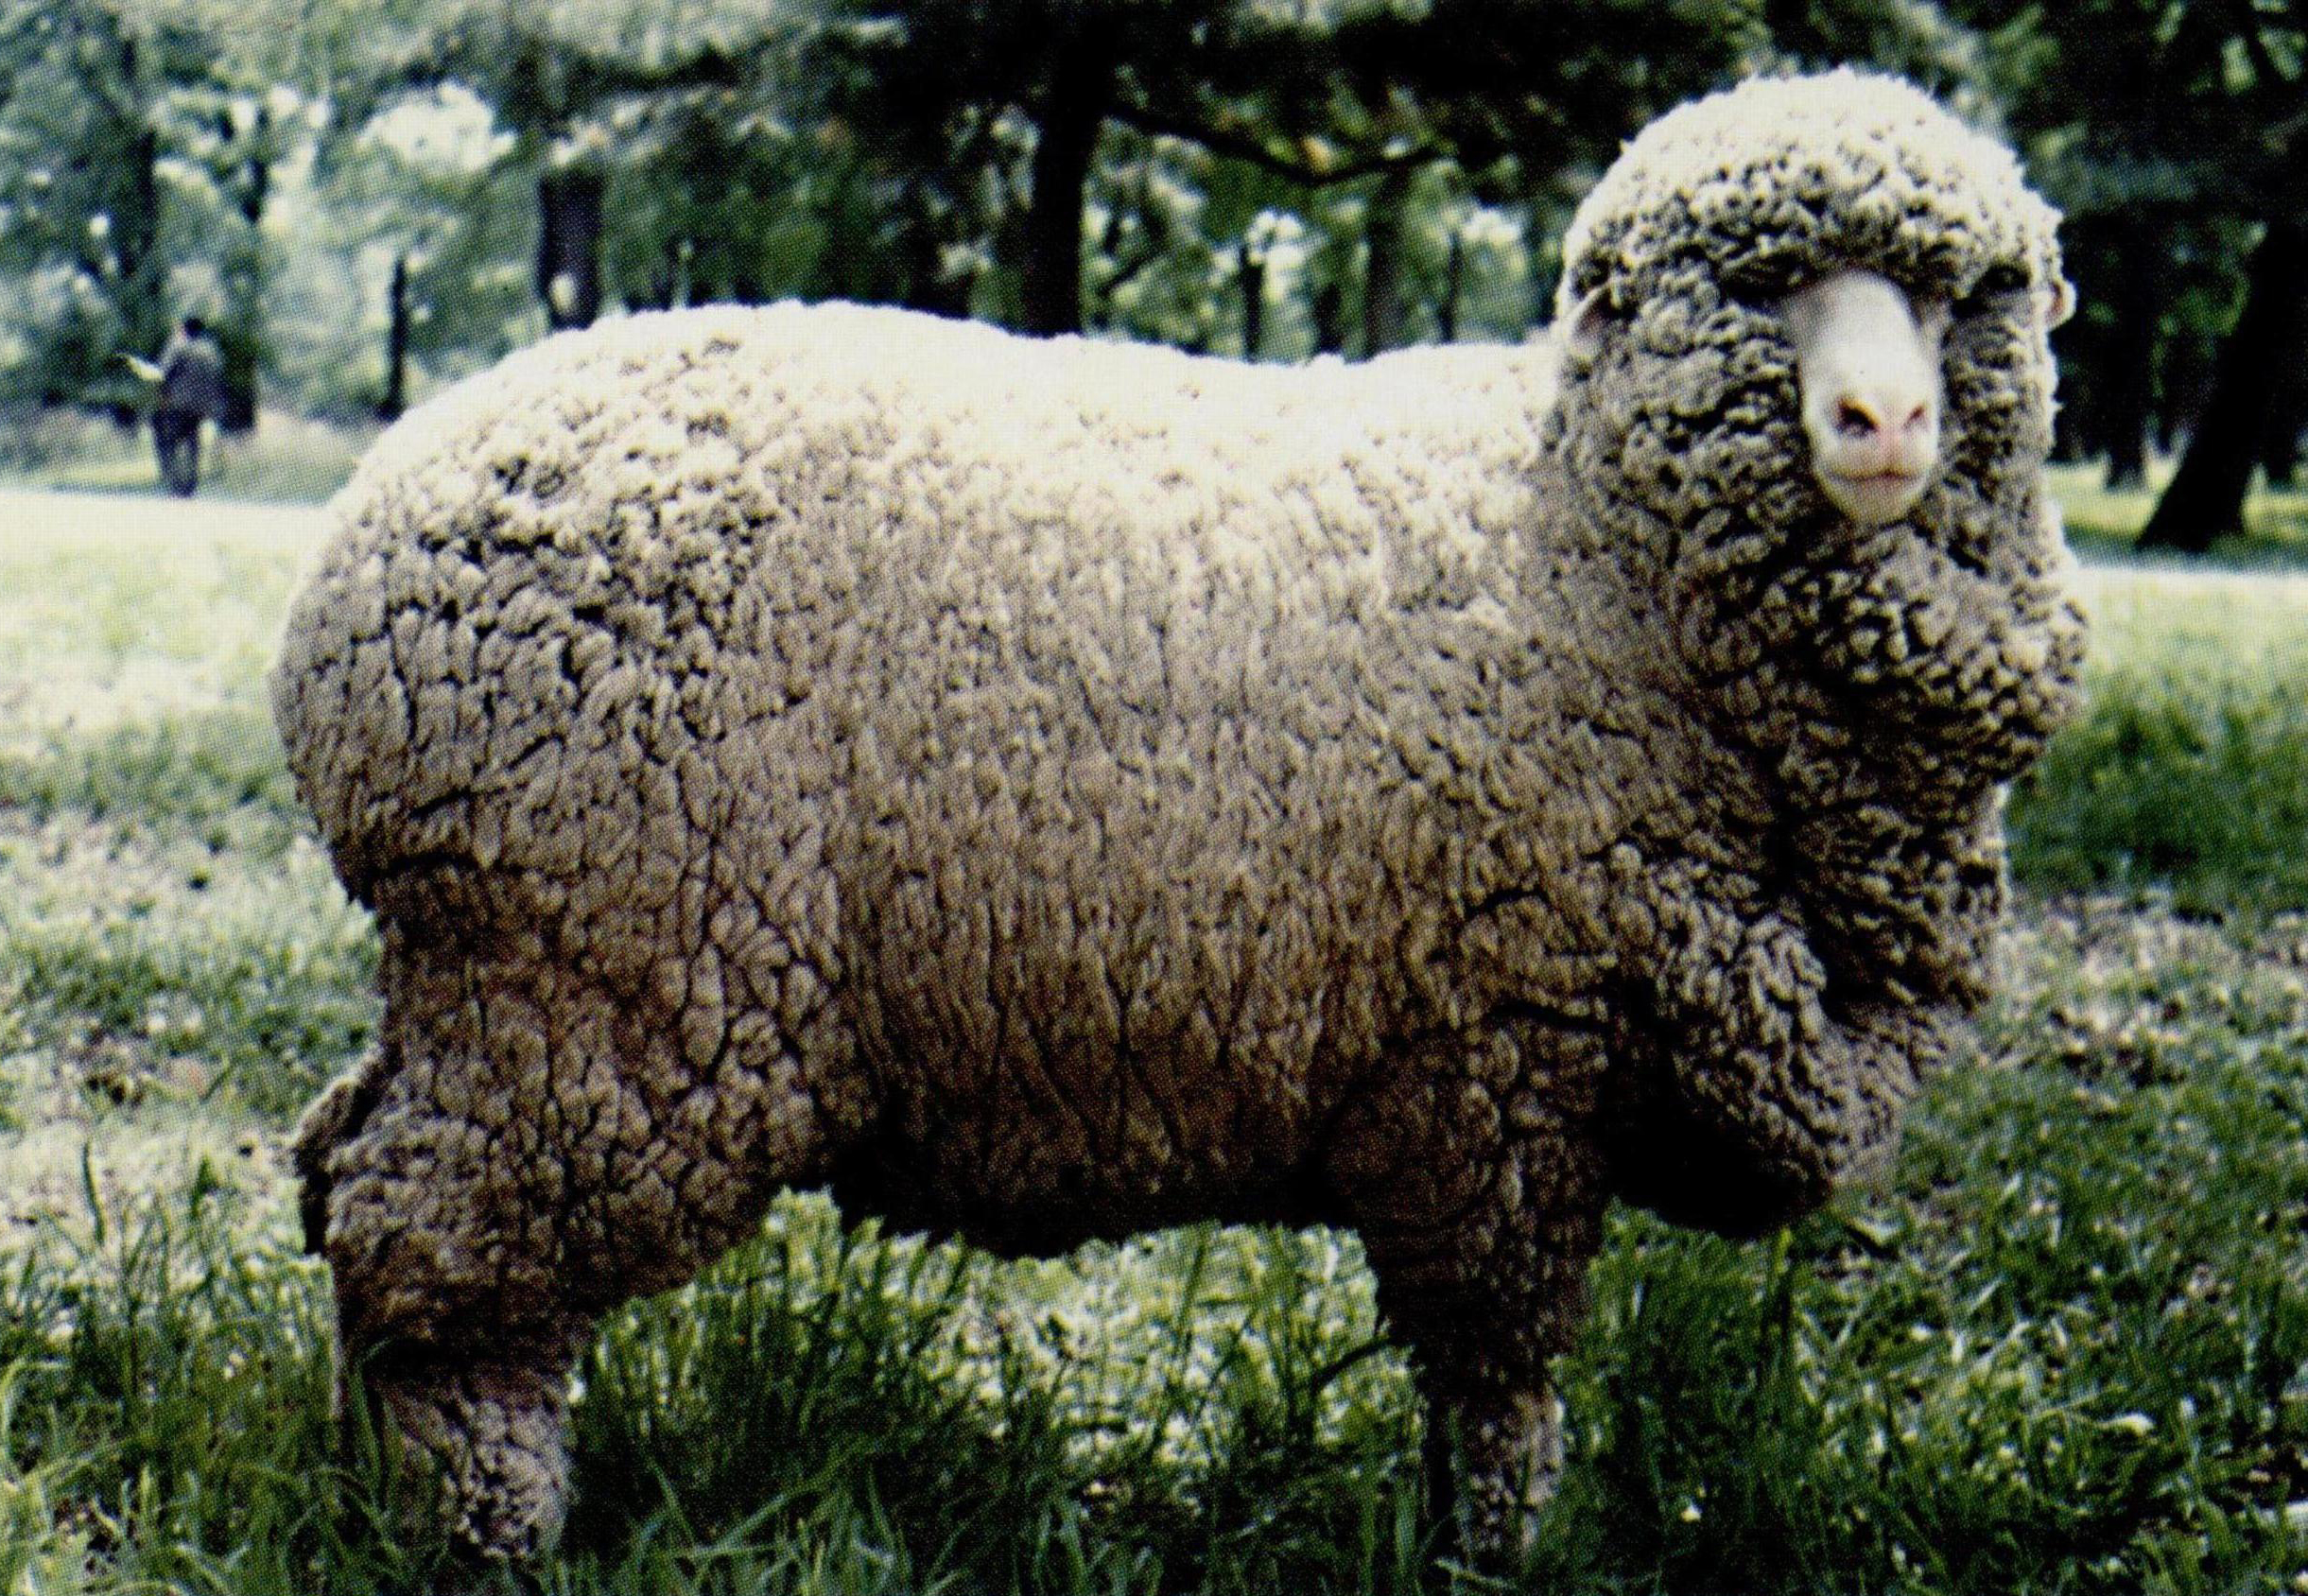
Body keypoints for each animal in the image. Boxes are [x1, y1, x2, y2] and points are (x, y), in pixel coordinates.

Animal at [272, 68, 2084, 1566]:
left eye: (1960, 293)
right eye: (1767, 286)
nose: (1883, 426)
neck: (1591, 533)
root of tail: (360, 554)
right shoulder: (1505, 1055)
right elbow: (1499, 1377)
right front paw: (1494, 1554)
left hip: (498, 984)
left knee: (342, 1164)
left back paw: (372, 1477)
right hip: (620, 993)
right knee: (427, 1243)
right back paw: (484, 1527)